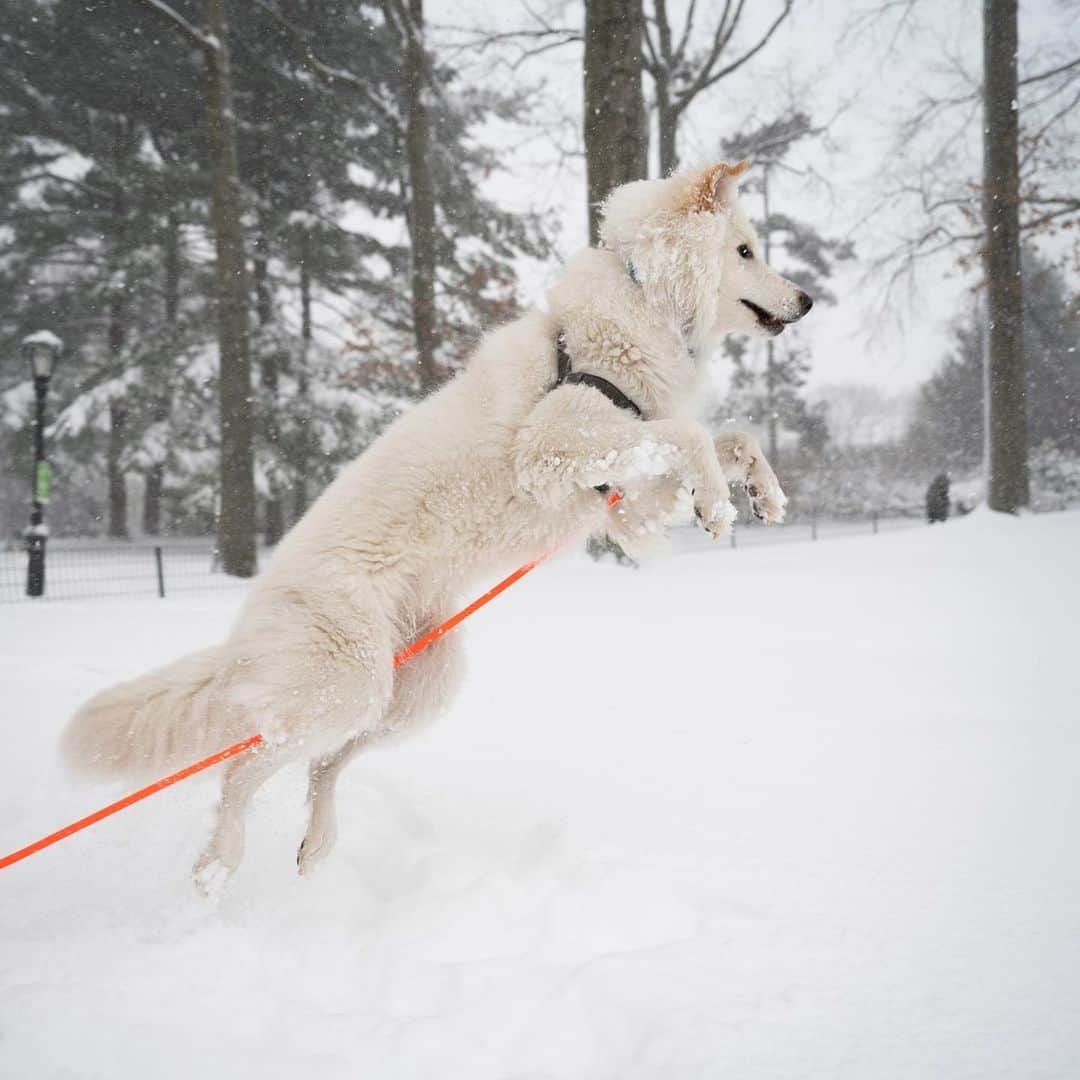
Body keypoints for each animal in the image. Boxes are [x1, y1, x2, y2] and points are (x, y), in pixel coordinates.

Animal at [63, 159, 812, 885]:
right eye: (746, 250)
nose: (807, 301)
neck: (644, 302)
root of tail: (244, 633)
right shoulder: (553, 442)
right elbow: (689, 432)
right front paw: (718, 502)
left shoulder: (628, 502)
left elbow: (731, 436)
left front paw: (764, 494)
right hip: (347, 686)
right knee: (240, 769)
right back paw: (216, 867)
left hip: (415, 687)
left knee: (320, 764)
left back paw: (316, 847)